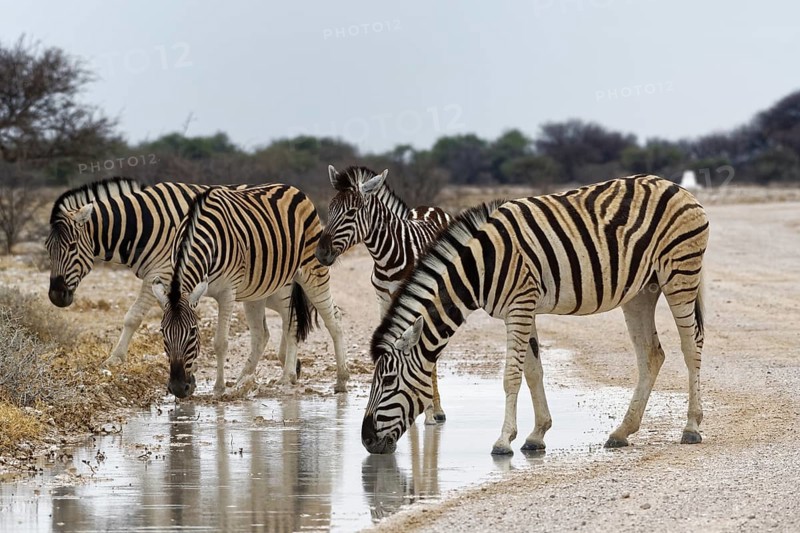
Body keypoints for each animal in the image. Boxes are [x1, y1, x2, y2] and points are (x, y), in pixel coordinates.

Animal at [46, 177, 303, 396]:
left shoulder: (160, 275)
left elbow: (133, 317)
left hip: (281, 285)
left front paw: (115, 359)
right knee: (270, 329)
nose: (56, 296)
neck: (143, 226)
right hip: (260, 291)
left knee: (290, 320)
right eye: (48, 248)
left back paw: (288, 371)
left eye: (71, 247)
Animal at [151, 184, 349, 398]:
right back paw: (244, 379)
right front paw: (196, 380)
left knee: (328, 319)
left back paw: (331, 379)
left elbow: (220, 342)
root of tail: (292, 189)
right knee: (264, 334)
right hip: (260, 290)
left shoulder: (227, 292)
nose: (178, 388)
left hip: (311, 271)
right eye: (162, 332)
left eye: (193, 332)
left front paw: (218, 388)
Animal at [315, 165, 452, 424]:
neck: (389, 257)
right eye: (329, 209)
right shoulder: (383, 300)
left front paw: (427, 409)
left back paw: (437, 409)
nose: (320, 253)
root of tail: (431, 207)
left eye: (351, 213)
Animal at [361, 175, 709, 455]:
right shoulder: (520, 309)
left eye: (388, 380)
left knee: (691, 345)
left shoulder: (520, 306)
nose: (366, 440)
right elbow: (533, 371)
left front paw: (503, 441)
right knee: (651, 354)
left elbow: (511, 376)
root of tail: (676, 186)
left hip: (679, 274)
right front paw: (536, 435)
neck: (479, 267)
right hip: (641, 291)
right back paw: (622, 432)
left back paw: (691, 427)